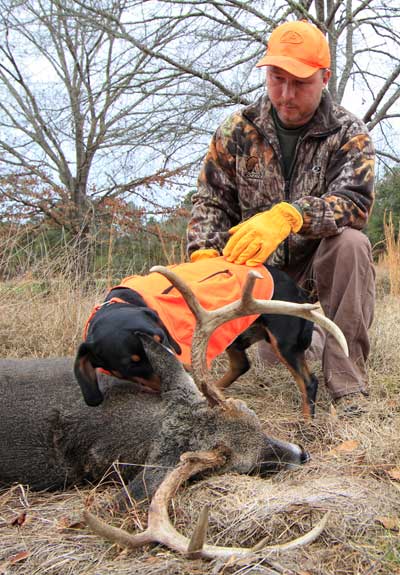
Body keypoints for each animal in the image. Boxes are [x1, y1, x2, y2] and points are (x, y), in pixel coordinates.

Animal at [74, 258, 318, 416]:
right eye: (131, 363)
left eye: (161, 339)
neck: (124, 301)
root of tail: (299, 290)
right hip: (233, 335)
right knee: (241, 364)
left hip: (284, 342)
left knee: (309, 382)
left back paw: (306, 423)